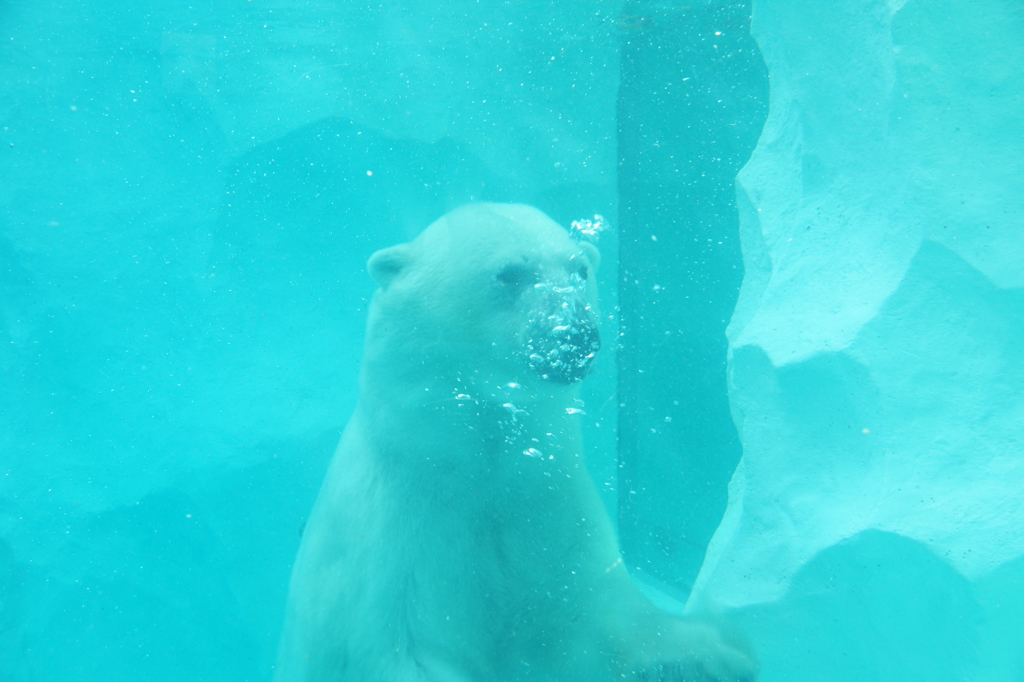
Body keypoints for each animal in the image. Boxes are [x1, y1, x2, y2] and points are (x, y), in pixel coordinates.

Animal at [276, 202, 757, 679]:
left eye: (580, 269)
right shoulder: (393, 554)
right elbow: (412, 652)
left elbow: (596, 615)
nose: (576, 334)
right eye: (509, 273)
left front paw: (715, 654)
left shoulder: (549, 511)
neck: (466, 465)